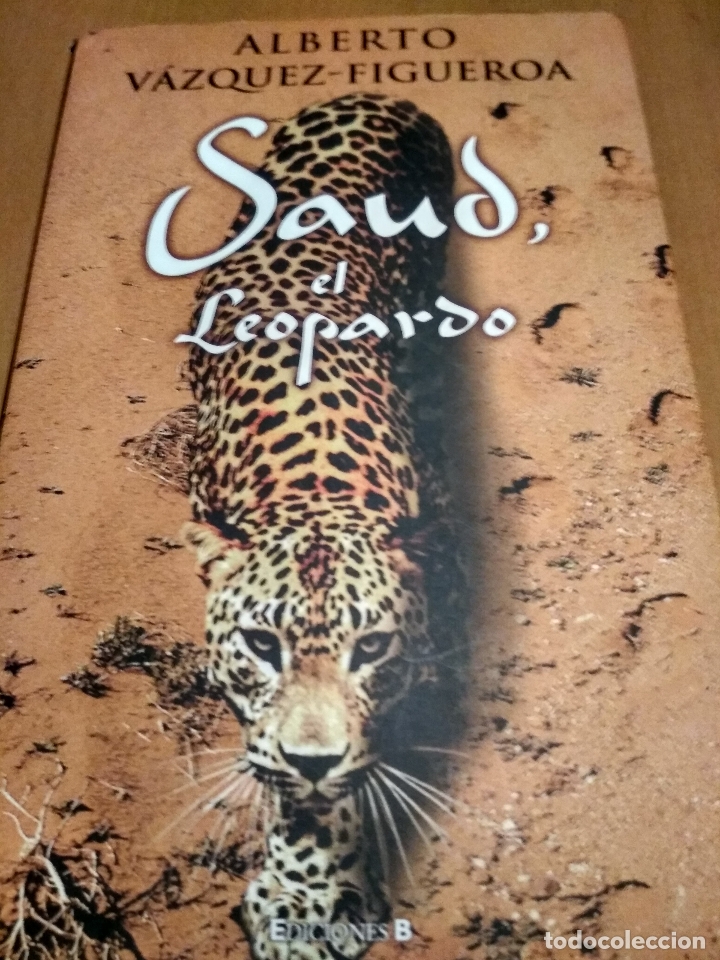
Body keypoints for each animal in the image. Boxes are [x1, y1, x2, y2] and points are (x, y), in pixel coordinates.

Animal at [182, 92, 463, 960]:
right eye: (259, 645)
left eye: (371, 649)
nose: (314, 760)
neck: (314, 490)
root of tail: (376, 94)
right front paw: (302, 897)